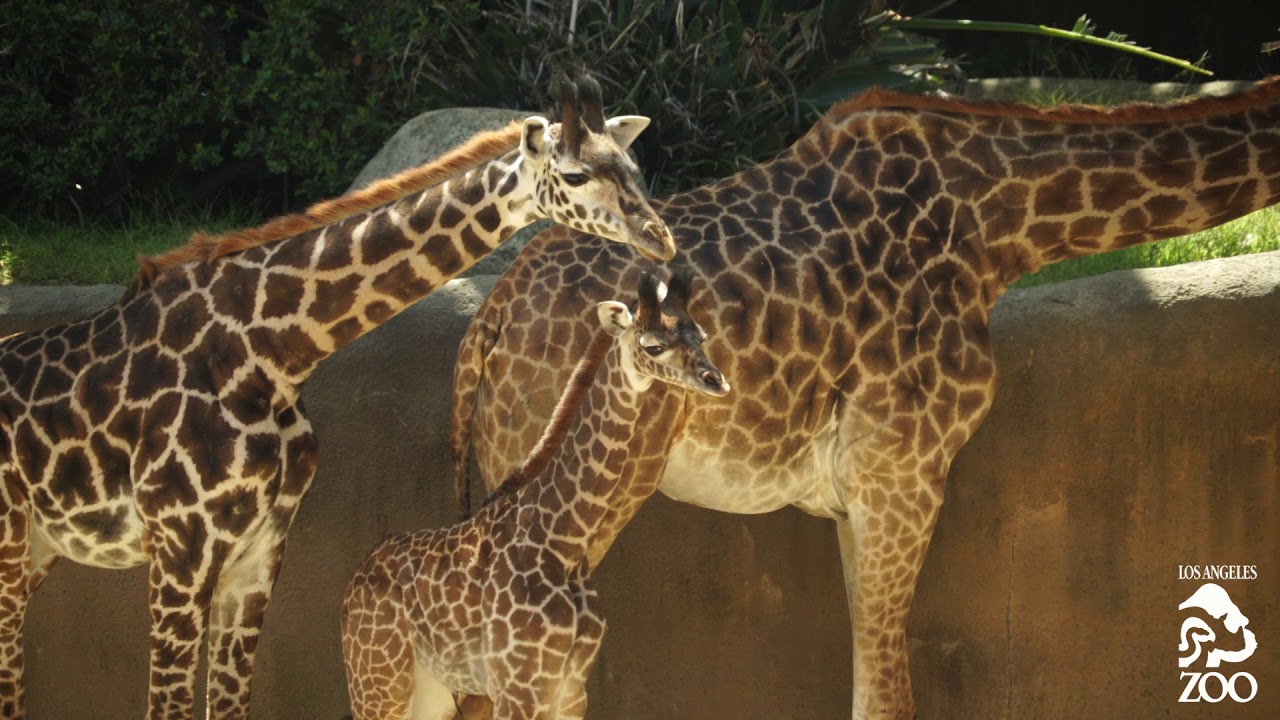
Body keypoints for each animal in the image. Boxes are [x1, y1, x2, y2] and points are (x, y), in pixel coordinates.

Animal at [0, 76, 673, 720]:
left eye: (633, 168)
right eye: (576, 175)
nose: (660, 237)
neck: (271, 352)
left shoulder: (259, 550)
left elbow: (231, 702)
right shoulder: (180, 546)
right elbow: (166, 706)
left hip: (37, 550)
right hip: (14, 544)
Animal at [341, 270, 729, 720]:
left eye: (700, 335)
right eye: (653, 346)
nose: (717, 381)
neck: (565, 540)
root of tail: (352, 585)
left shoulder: (571, 688)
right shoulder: (518, 686)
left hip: (428, 693)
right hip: (379, 682)